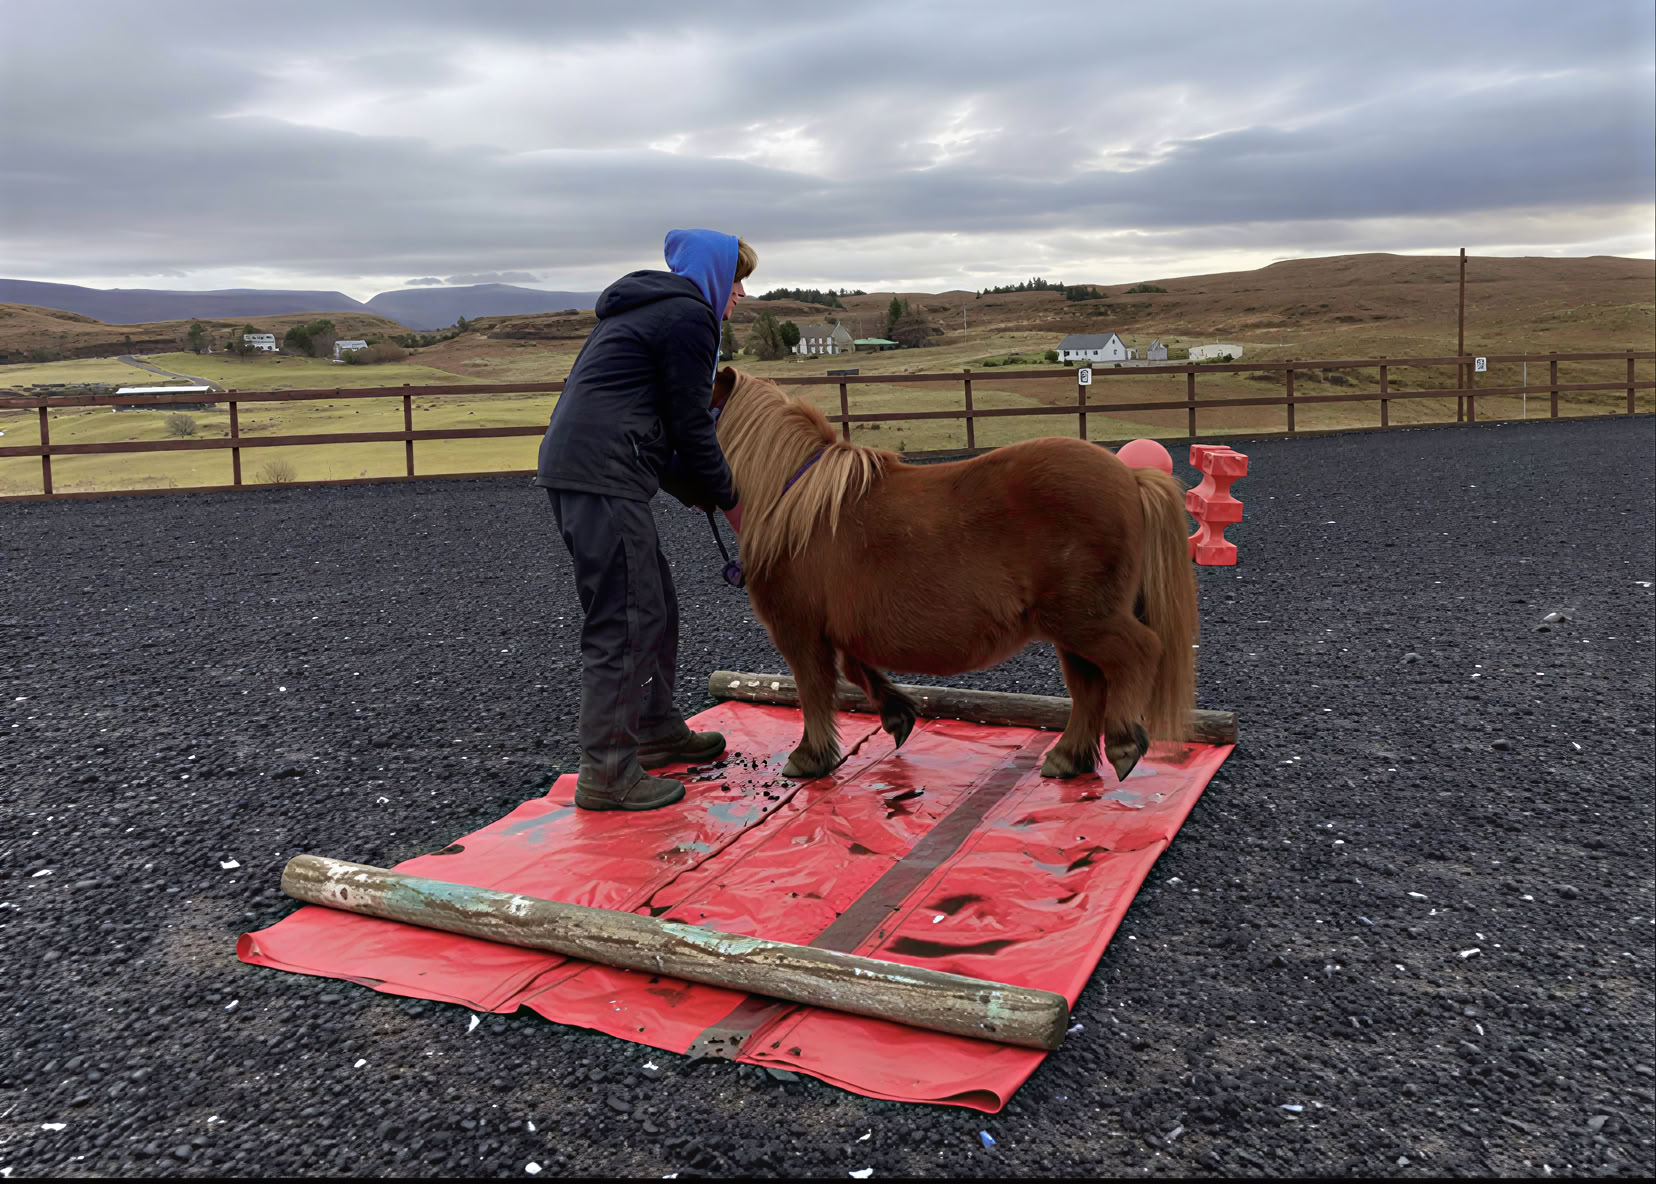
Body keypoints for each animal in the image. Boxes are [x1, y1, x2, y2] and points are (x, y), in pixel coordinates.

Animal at [710, 366, 1199, 783]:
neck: (794, 504)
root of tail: (1131, 476)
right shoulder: (840, 629)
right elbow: (855, 668)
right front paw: (896, 715)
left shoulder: (800, 632)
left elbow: (812, 691)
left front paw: (809, 756)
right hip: (1072, 629)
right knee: (1090, 687)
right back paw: (1067, 757)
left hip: (1084, 620)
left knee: (1138, 653)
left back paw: (1122, 742)